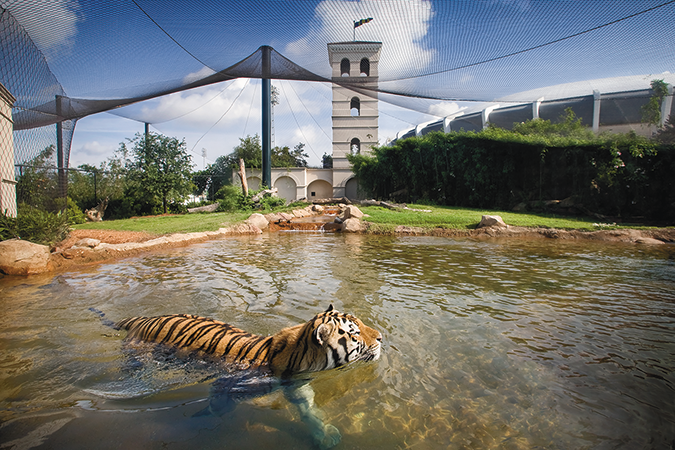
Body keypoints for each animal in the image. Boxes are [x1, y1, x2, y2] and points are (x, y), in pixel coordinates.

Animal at [103, 304, 382, 448]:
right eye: (355, 333)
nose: (381, 337)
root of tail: (142, 319)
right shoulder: (228, 385)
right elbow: (218, 408)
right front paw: (197, 422)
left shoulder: (298, 387)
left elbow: (309, 411)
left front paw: (324, 435)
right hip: (140, 357)